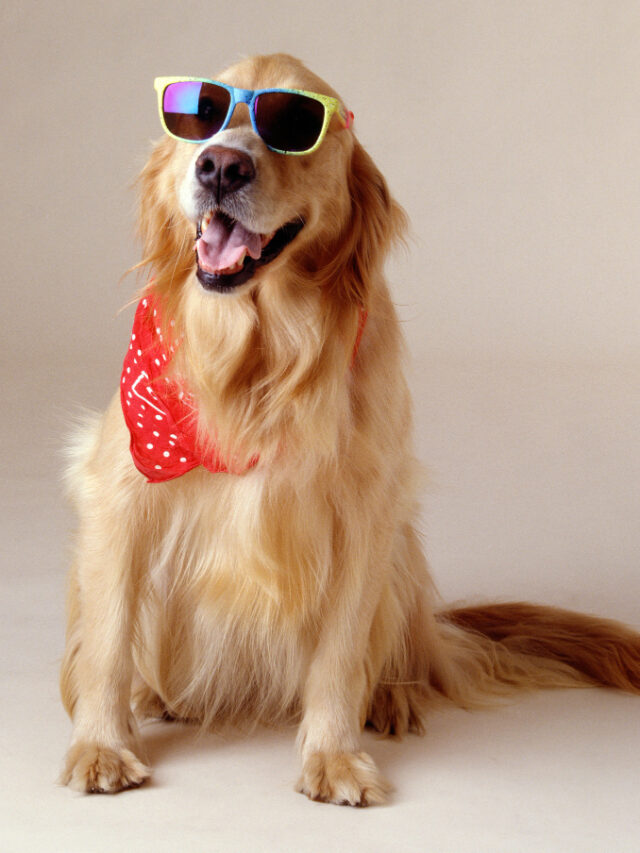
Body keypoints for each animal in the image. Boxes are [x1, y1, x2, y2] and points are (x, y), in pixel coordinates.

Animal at [60, 55, 640, 804]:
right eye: (201, 113)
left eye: (294, 124)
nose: (220, 166)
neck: (261, 357)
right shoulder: (124, 490)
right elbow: (107, 641)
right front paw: (101, 742)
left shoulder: (367, 512)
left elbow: (339, 654)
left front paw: (333, 754)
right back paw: (159, 697)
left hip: (403, 554)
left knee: (391, 653)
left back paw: (391, 698)